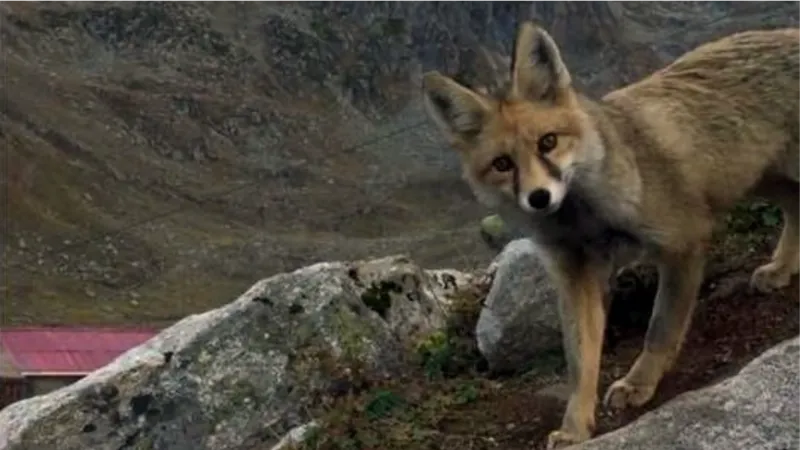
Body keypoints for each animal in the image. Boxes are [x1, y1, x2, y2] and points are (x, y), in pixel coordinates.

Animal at [418, 22, 800, 450]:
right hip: (762, 179)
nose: (539, 198)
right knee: (797, 207)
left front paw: (639, 383)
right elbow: (580, 362)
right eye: (503, 164)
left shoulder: (683, 243)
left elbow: (659, 331)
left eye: (548, 142)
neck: (587, 221)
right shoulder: (576, 274)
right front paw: (575, 427)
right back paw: (781, 268)